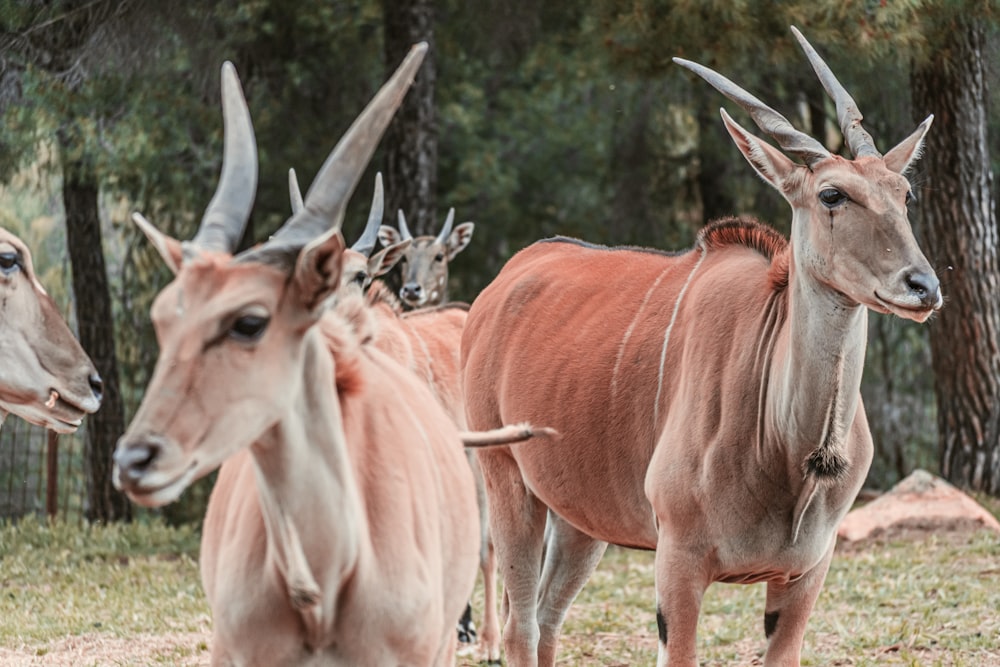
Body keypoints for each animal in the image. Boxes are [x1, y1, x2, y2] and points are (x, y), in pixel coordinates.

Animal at [460, 26, 936, 667]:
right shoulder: (679, 563)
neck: (791, 453)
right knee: (521, 627)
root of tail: (503, 282)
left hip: (581, 518)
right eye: (832, 195)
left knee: (548, 616)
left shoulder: (806, 573)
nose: (924, 286)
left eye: (904, 192)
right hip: (506, 479)